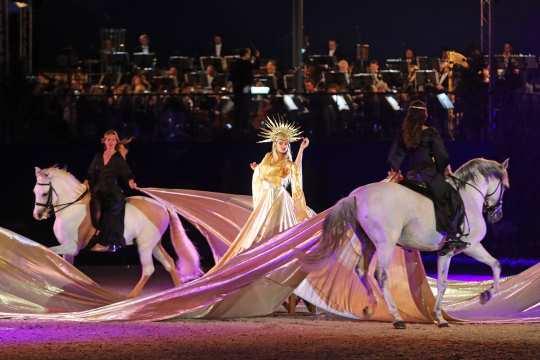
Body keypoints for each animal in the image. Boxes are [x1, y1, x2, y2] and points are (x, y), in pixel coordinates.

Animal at [33, 167, 202, 296]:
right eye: (34, 191)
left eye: (44, 193)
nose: (37, 215)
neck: (72, 207)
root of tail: (161, 206)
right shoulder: (68, 250)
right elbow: (68, 267)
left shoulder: (71, 246)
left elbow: (50, 250)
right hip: (155, 244)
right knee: (169, 263)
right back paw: (178, 292)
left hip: (145, 245)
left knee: (148, 269)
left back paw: (130, 297)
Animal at [306, 158, 508, 330]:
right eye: (505, 186)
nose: (498, 215)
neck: (469, 198)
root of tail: (357, 195)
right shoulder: (471, 246)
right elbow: (495, 265)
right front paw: (486, 296)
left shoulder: (446, 252)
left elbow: (444, 282)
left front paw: (440, 318)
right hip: (385, 243)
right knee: (381, 274)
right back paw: (397, 318)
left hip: (368, 242)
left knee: (361, 270)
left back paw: (370, 307)